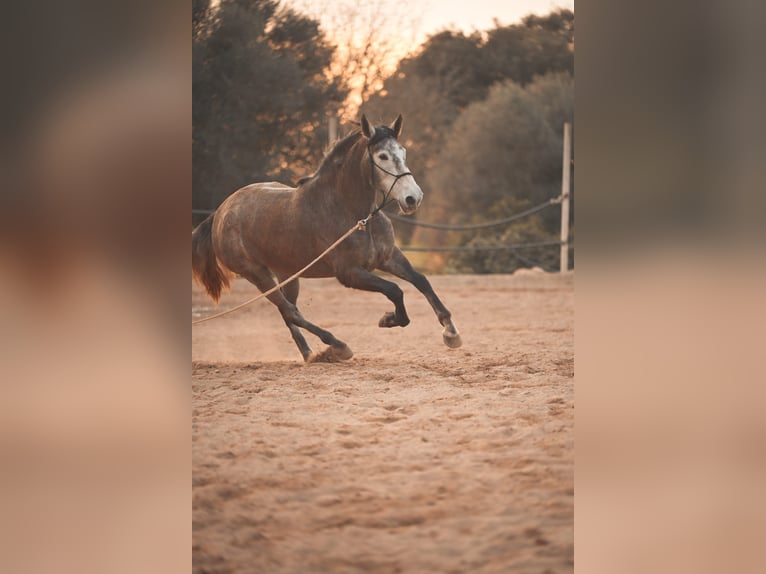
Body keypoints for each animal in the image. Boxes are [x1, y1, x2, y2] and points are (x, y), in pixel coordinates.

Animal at [195, 115, 464, 362]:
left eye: (403, 151)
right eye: (382, 156)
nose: (413, 198)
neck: (354, 215)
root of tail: (220, 212)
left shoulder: (388, 257)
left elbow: (421, 281)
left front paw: (451, 333)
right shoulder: (349, 273)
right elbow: (395, 290)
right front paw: (389, 319)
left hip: (287, 274)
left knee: (288, 312)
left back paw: (311, 354)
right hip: (257, 274)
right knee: (290, 311)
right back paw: (337, 346)